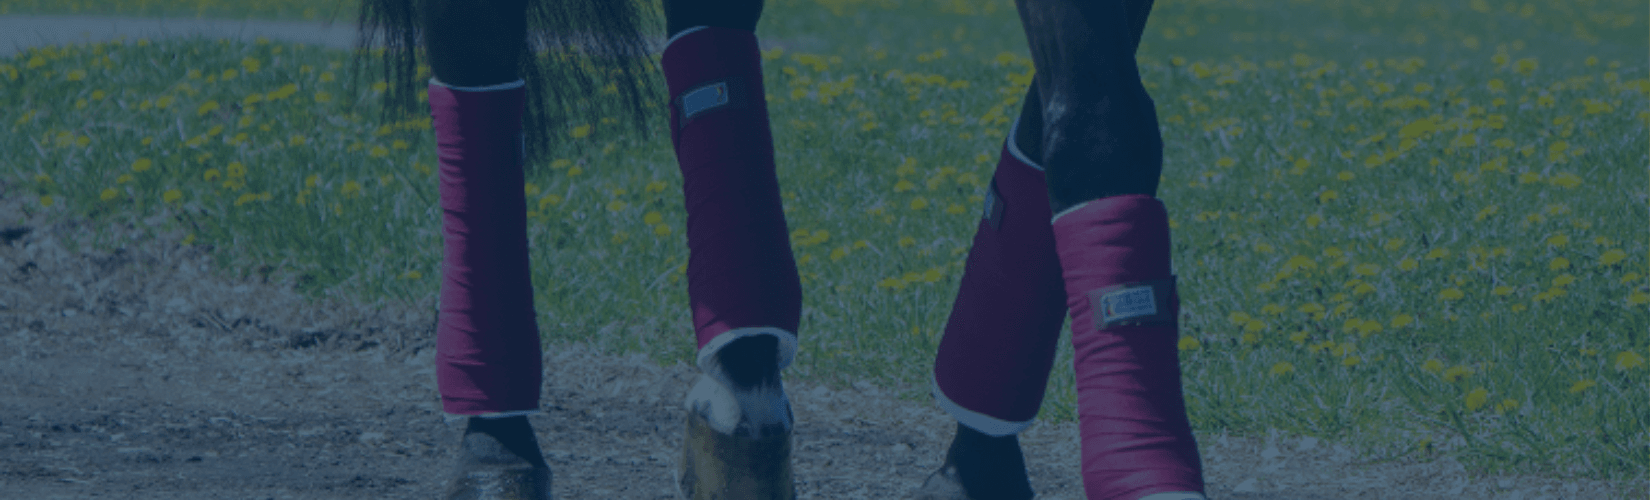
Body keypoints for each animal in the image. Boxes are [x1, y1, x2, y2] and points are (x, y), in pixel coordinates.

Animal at [349, 0, 1208, 498]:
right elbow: (1094, 129)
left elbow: (1078, 125)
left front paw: (976, 466)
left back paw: (742, 388)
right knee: (474, 53)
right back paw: (495, 440)